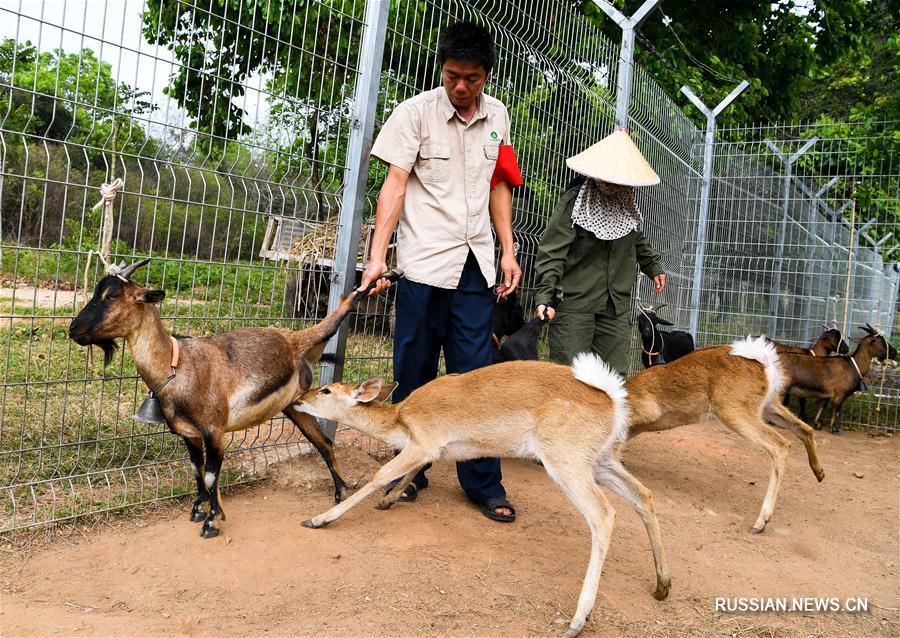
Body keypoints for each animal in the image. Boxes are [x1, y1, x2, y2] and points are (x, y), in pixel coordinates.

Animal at [68, 260, 392, 540]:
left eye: (112, 295)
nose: (73, 329)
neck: (177, 364)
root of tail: (296, 340)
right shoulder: (189, 433)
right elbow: (196, 468)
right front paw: (198, 509)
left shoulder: (215, 430)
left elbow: (212, 475)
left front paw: (213, 521)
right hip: (295, 405)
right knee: (324, 443)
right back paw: (340, 492)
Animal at [292, 360, 672, 638]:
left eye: (326, 389)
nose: (300, 397)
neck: (400, 420)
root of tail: (614, 402)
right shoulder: (433, 448)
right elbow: (415, 469)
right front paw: (390, 500)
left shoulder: (426, 438)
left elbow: (379, 475)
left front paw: (320, 518)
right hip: (603, 458)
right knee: (644, 495)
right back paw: (662, 585)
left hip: (566, 456)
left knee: (603, 513)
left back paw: (578, 620)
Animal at [624, 338, 824, 536]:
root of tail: (763, 360)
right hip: (768, 405)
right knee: (805, 429)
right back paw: (819, 473)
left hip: (733, 410)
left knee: (780, 444)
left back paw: (760, 522)